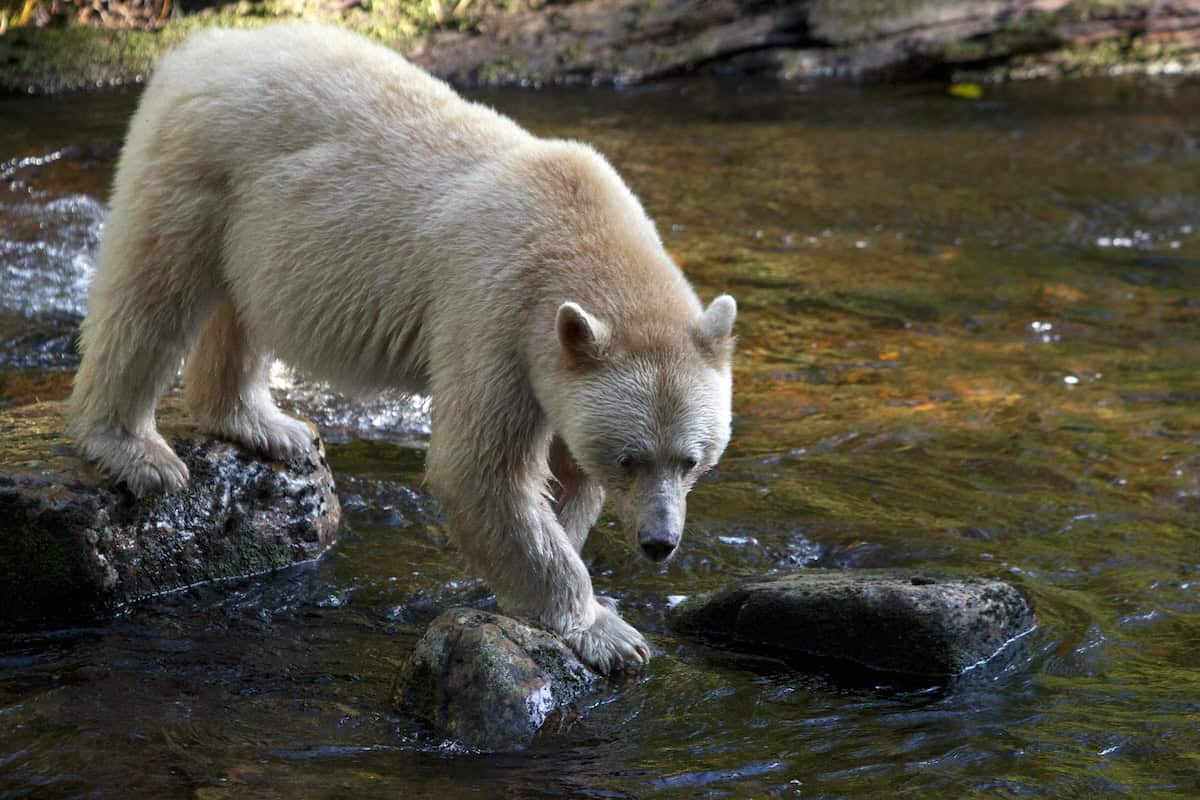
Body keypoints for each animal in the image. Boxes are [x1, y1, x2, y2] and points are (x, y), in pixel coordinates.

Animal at [69, 23, 736, 674]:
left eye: (691, 459)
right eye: (630, 458)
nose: (660, 543)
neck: (578, 230)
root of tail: (201, 46)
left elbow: (564, 473)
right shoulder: (492, 311)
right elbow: (478, 471)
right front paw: (608, 632)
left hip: (256, 224)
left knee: (241, 314)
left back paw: (268, 426)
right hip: (201, 166)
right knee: (151, 299)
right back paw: (138, 452)